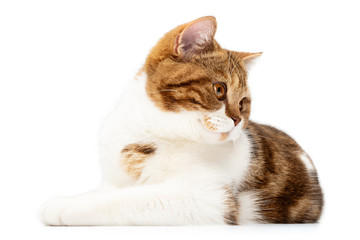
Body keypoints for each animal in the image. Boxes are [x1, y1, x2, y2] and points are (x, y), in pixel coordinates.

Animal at [38, 16, 324, 225]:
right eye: (219, 90)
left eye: (243, 103)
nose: (237, 120)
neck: (154, 132)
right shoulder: (113, 178)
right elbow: (111, 191)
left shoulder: (210, 197)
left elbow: (131, 198)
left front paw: (66, 205)